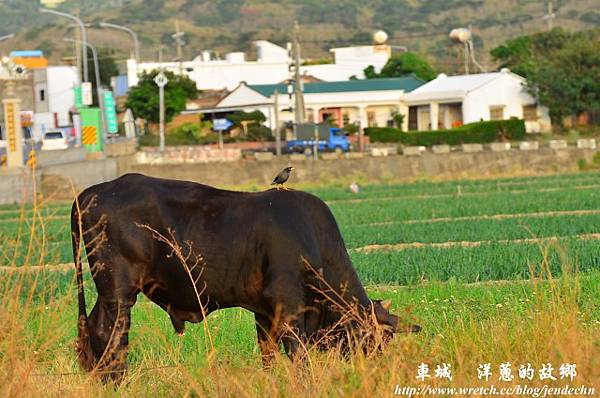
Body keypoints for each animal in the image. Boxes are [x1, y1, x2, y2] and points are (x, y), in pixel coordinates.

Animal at [71, 174, 422, 380]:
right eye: (374, 339)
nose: (376, 371)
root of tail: (92, 190)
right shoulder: (288, 305)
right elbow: (299, 356)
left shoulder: (264, 313)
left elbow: (268, 355)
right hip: (119, 290)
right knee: (110, 333)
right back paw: (117, 380)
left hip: (107, 292)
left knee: (95, 330)